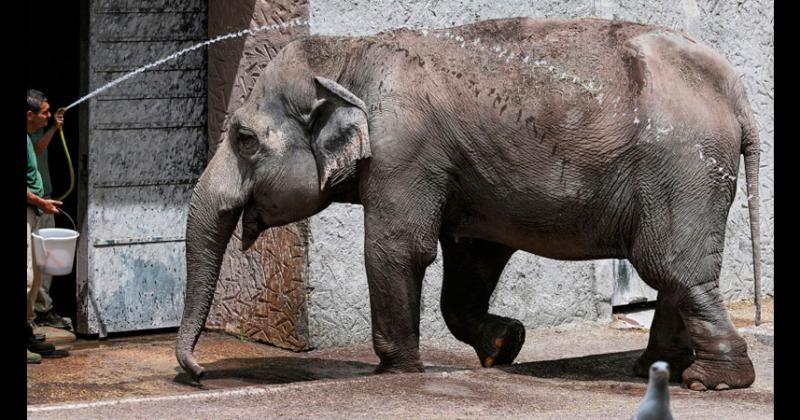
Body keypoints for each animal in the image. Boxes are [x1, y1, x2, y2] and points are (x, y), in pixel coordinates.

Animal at [177, 15, 764, 390]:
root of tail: (736, 91)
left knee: (671, 266)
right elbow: (471, 257)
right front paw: (506, 344)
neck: (349, 51)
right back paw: (656, 370)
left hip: (680, 169)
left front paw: (396, 372)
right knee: (675, 274)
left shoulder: (403, 150)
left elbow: (398, 249)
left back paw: (713, 382)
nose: (197, 374)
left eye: (244, 139)